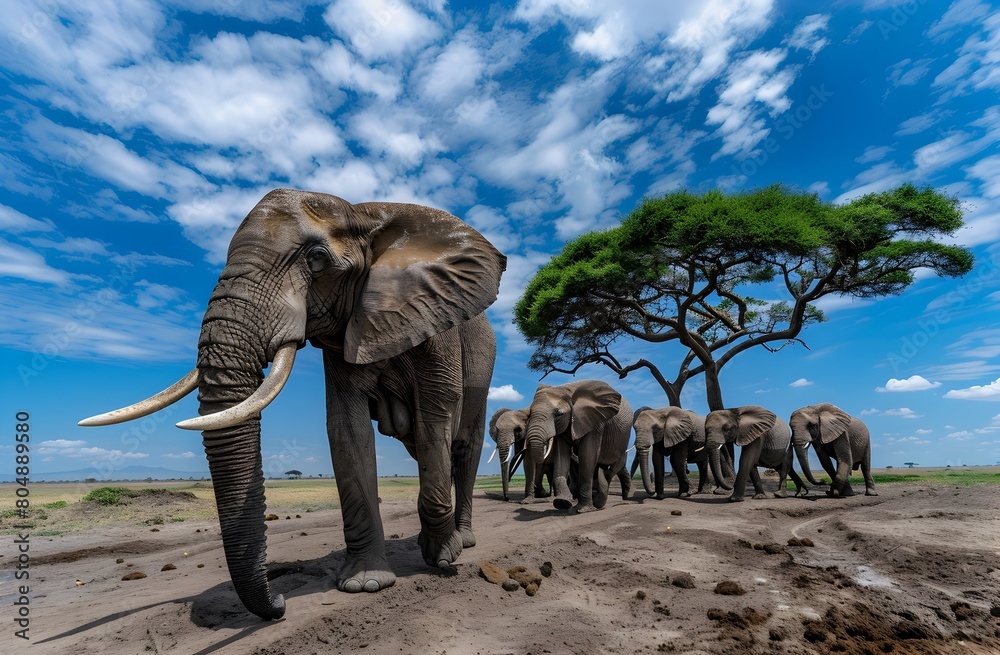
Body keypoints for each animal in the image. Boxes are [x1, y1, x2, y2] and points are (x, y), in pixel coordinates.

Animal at [79, 189, 506, 619]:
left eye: (316, 259)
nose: (279, 604)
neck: (365, 214)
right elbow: (346, 428)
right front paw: (366, 583)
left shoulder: (436, 322)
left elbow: (435, 415)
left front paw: (443, 557)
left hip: (483, 366)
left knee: (460, 447)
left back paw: (463, 539)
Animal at [522, 380, 632, 512]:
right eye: (529, 414)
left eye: (558, 414)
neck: (565, 389)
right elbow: (561, 456)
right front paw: (562, 503)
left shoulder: (595, 422)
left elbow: (587, 455)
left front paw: (583, 509)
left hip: (623, 439)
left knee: (613, 468)